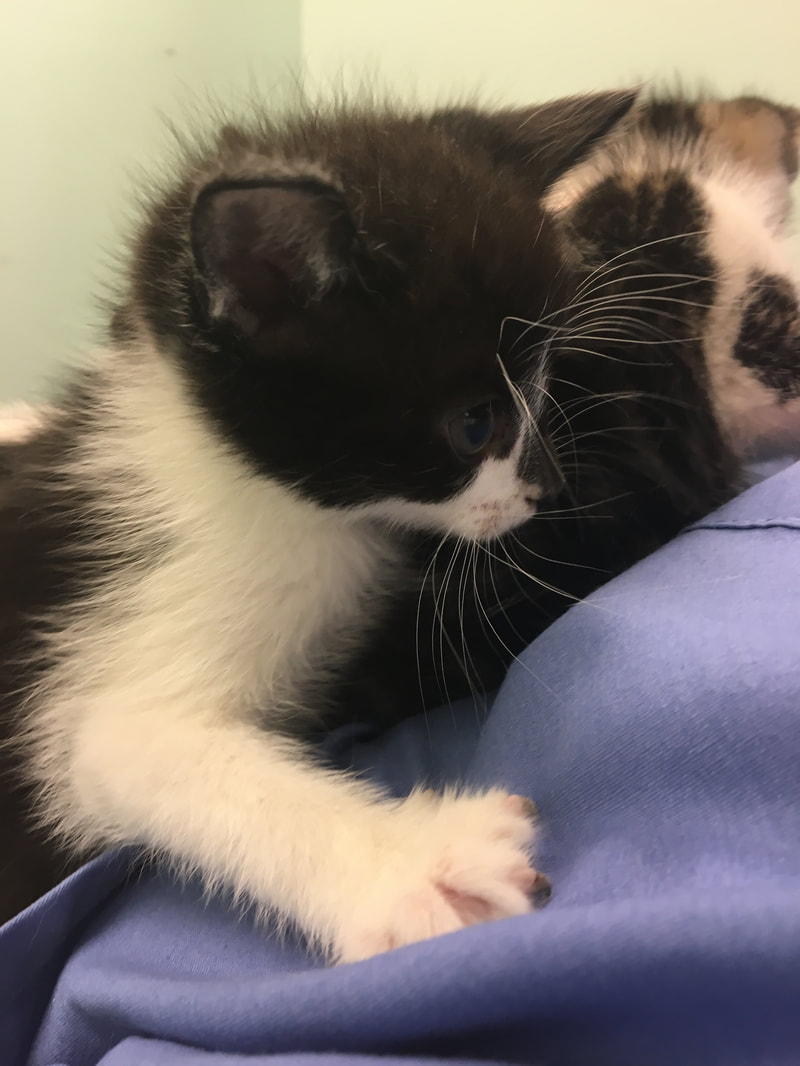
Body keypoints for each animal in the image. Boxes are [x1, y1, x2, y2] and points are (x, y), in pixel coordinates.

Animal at [1, 87, 800, 963]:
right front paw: (412, 866)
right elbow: (135, 749)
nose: (547, 489)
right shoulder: (136, 636)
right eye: (475, 425)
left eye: (547, 378)